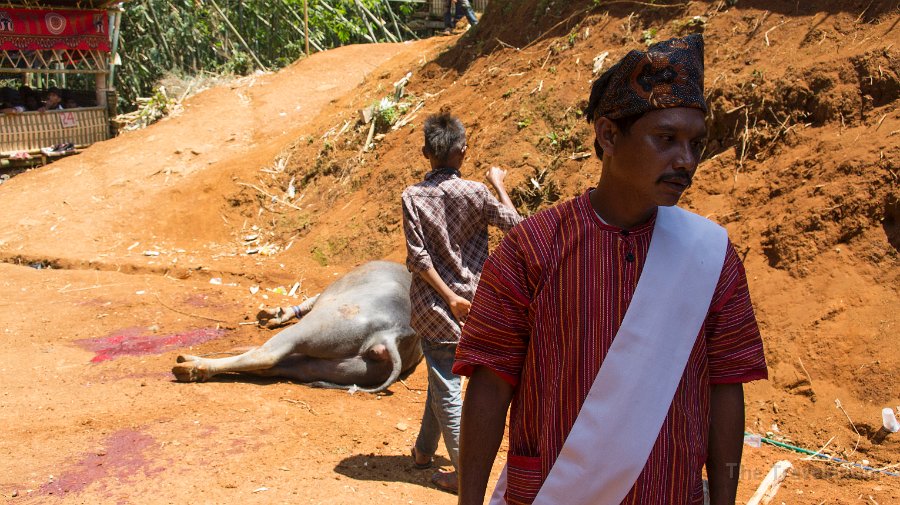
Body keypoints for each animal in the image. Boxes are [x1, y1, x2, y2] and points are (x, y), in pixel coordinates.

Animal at [172, 262, 422, 392]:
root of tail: (390, 334)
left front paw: (274, 314)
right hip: (344, 368)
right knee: (275, 367)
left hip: (317, 327)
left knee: (266, 356)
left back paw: (191, 366)